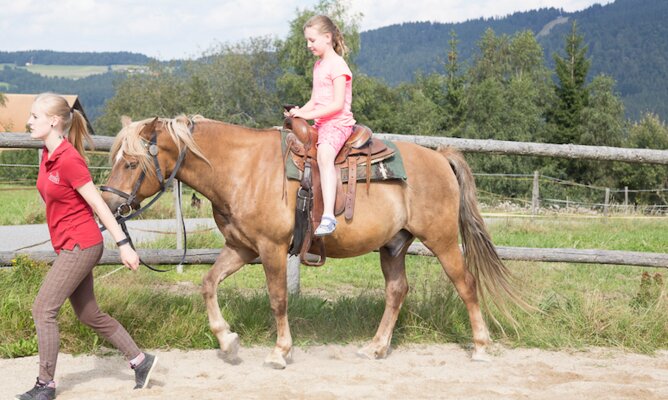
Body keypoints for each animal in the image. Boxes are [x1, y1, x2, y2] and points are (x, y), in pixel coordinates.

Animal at [100, 113, 528, 368]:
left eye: (132, 162)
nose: (109, 204)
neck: (241, 169)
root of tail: (440, 157)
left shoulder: (271, 249)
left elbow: (277, 299)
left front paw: (280, 351)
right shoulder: (241, 248)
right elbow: (208, 283)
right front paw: (227, 341)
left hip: (441, 240)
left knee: (466, 284)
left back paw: (481, 346)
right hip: (394, 245)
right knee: (397, 291)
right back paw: (376, 346)